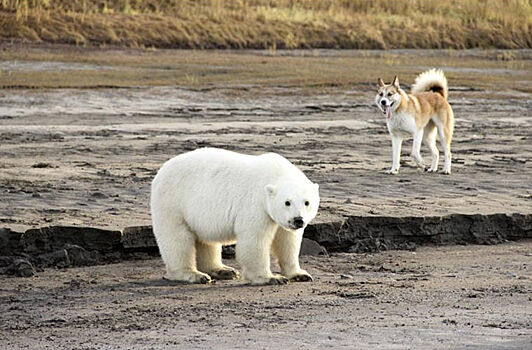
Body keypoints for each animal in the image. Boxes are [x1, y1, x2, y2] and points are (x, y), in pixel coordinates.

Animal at [150, 146, 320, 286]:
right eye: (287, 202)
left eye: (307, 202)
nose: (298, 220)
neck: (275, 174)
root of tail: (162, 169)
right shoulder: (256, 205)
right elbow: (255, 240)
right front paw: (271, 278)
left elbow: (288, 241)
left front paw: (300, 274)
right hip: (173, 202)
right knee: (177, 239)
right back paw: (194, 275)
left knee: (205, 240)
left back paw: (223, 270)